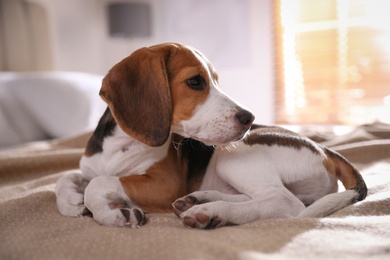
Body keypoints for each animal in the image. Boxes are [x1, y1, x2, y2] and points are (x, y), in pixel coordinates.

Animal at [56, 42, 254, 228]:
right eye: (195, 81)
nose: (249, 118)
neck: (120, 144)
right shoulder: (90, 168)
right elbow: (66, 177)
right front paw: (71, 201)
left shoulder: (165, 184)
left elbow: (97, 182)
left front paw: (112, 213)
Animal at [172, 126, 368, 230]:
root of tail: (324, 149)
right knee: (252, 199)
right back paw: (198, 200)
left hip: (232, 156)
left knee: (281, 200)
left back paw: (210, 211)